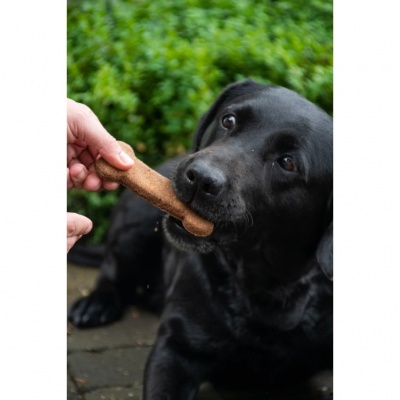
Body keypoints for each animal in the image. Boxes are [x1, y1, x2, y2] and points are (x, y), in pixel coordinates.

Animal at [68, 79, 332, 398]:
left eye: (287, 162)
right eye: (228, 120)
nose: (200, 177)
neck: (264, 288)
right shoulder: (176, 349)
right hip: (135, 226)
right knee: (112, 271)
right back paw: (95, 304)